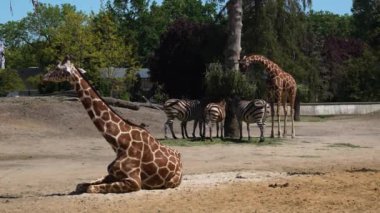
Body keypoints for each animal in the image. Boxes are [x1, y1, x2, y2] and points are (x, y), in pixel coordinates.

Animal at [43, 56, 183, 193]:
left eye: (57, 68)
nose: (44, 76)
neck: (119, 143)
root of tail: (180, 157)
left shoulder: (134, 181)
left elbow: (90, 188)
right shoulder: (112, 174)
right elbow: (81, 185)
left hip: (171, 182)